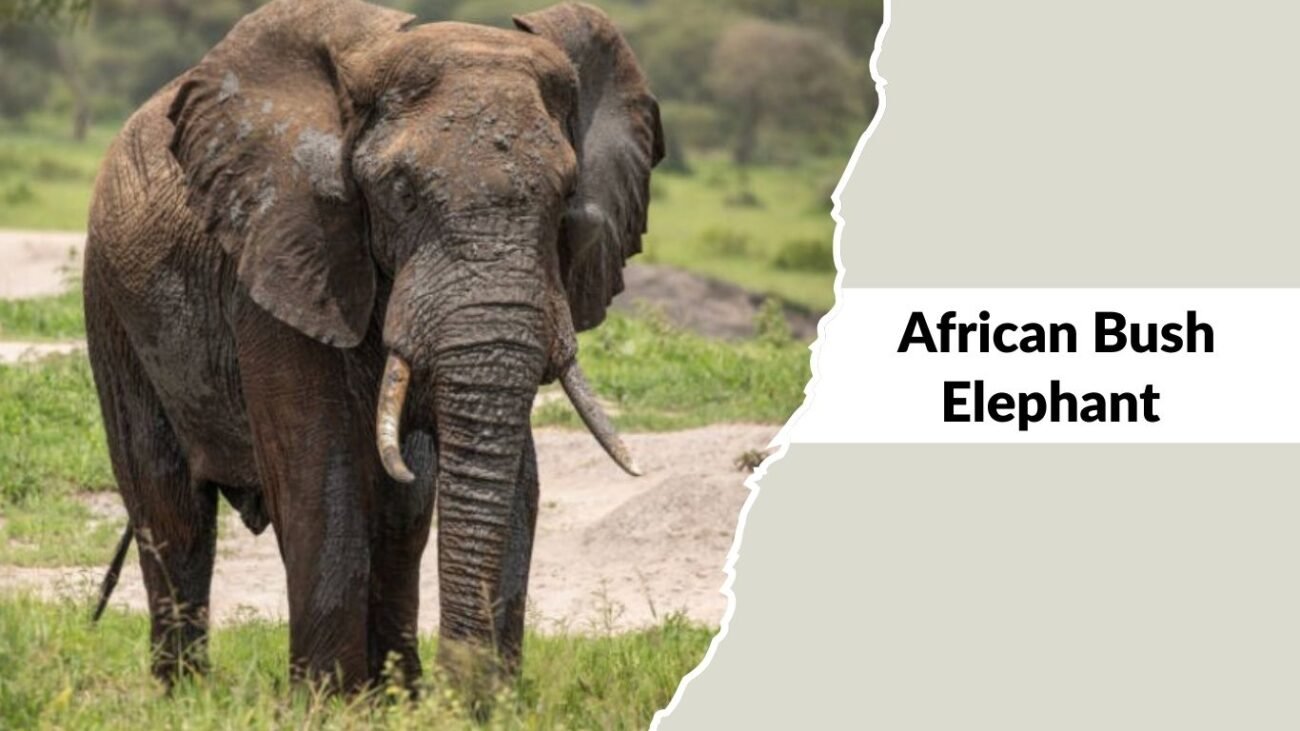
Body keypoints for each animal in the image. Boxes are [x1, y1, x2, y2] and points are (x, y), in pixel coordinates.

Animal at [83, 0, 662, 693]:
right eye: (400, 193)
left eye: (565, 197)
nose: (460, 690)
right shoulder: (284, 250)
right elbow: (317, 468)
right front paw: (326, 704)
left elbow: (511, 475)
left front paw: (457, 703)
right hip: (112, 303)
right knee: (170, 511)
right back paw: (185, 697)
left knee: (400, 515)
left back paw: (391, 691)